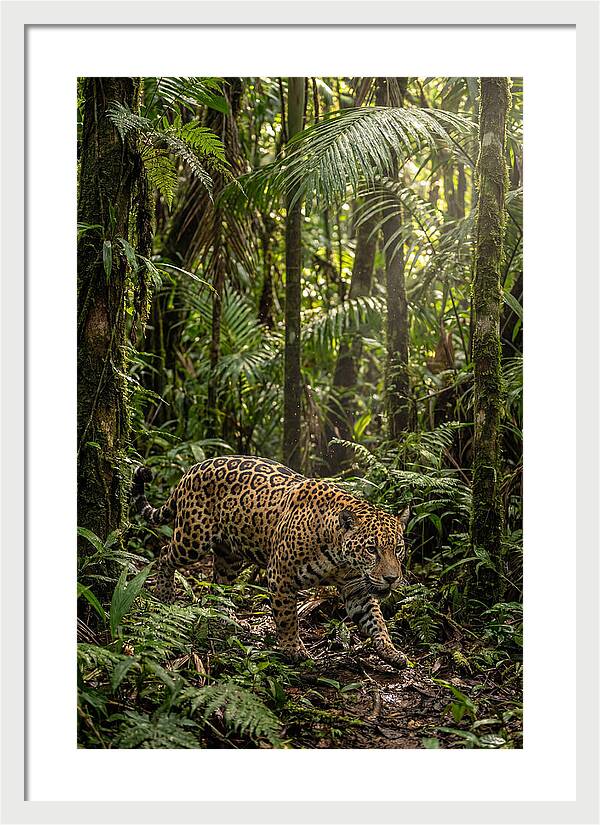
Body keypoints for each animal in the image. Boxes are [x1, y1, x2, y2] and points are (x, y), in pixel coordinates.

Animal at [132, 455, 410, 667]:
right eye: (372, 549)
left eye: (397, 549)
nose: (392, 579)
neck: (339, 558)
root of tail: (192, 469)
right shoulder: (281, 576)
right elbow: (287, 617)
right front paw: (293, 650)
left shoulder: (356, 588)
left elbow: (375, 619)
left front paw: (391, 651)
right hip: (192, 538)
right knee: (164, 553)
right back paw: (165, 593)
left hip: (229, 556)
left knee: (219, 582)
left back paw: (225, 616)